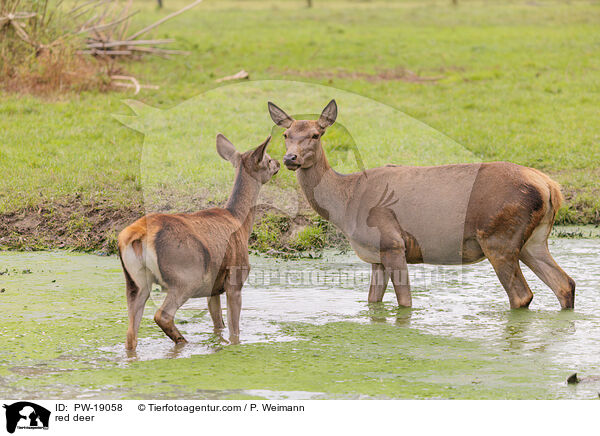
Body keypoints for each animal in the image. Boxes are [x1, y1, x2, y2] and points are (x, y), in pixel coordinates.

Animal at [118, 135, 282, 350]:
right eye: (268, 159)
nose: (280, 163)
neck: (241, 223)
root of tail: (137, 234)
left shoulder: (213, 288)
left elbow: (218, 323)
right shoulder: (235, 278)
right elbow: (234, 328)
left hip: (134, 282)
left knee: (131, 333)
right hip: (185, 275)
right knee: (162, 315)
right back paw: (184, 342)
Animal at [268, 99, 576, 310]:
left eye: (316, 134)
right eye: (285, 135)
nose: (290, 158)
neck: (346, 202)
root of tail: (550, 187)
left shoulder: (393, 243)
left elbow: (405, 302)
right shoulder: (376, 255)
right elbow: (372, 301)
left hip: (499, 237)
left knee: (522, 295)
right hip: (533, 240)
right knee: (565, 284)